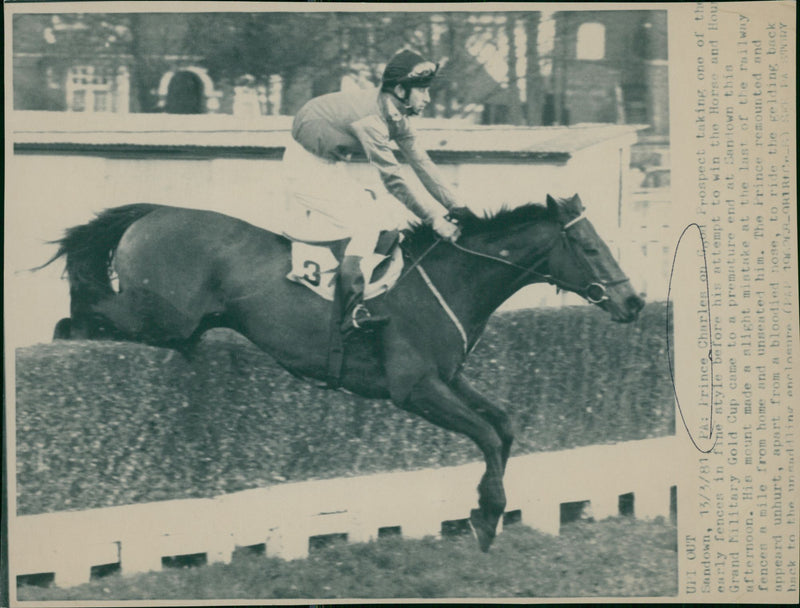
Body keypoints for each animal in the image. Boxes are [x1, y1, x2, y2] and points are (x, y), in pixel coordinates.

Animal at [40, 194, 648, 552]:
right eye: (589, 246)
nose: (634, 302)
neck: (451, 279)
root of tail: (151, 213)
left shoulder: (448, 378)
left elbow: (503, 425)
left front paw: (486, 511)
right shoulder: (414, 389)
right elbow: (486, 434)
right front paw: (488, 513)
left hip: (171, 321)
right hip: (156, 316)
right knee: (76, 320)